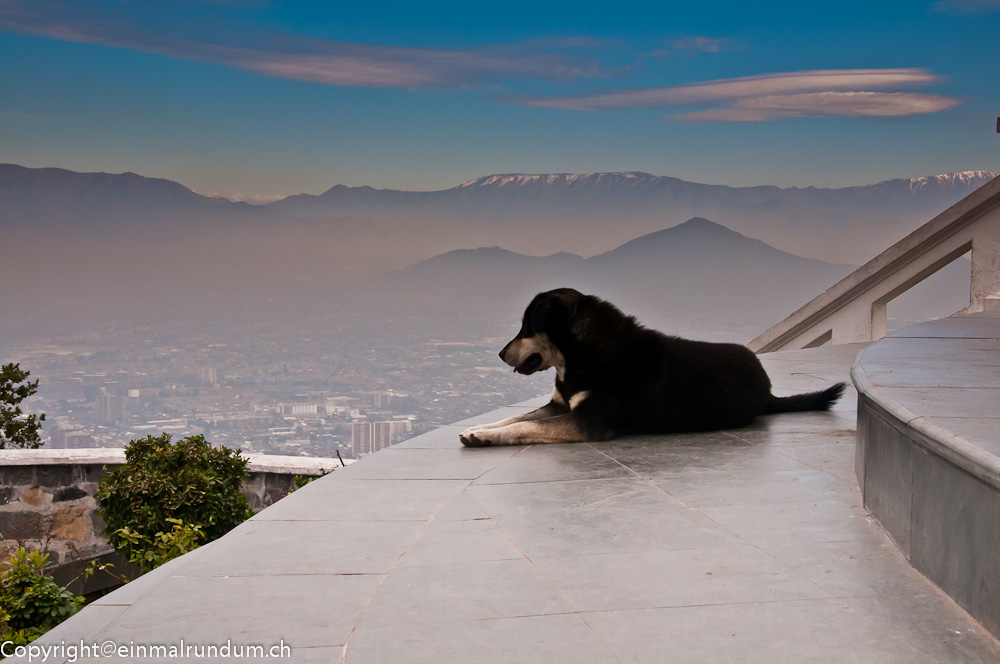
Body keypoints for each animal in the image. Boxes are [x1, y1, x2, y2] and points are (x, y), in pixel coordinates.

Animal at [460, 286, 844, 446]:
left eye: (528, 327)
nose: (500, 354)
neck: (582, 355)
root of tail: (768, 390)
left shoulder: (587, 421)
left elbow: (524, 426)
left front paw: (485, 436)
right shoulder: (558, 406)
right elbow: (514, 419)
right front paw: (479, 427)